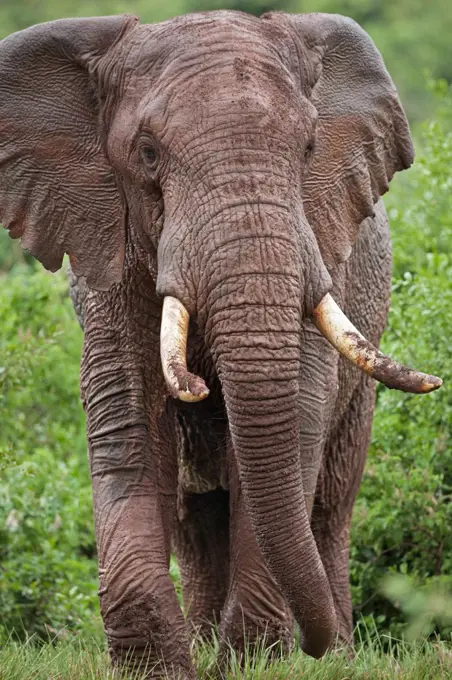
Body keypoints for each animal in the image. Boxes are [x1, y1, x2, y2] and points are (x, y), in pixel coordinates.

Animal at [0, 10, 442, 680]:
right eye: (147, 153)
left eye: (309, 148)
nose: (309, 642)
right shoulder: (106, 252)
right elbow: (129, 426)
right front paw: (158, 668)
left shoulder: (319, 243)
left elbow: (293, 423)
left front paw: (256, 661)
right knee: (195, 518)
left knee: (330, 503)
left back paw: (331, 651)